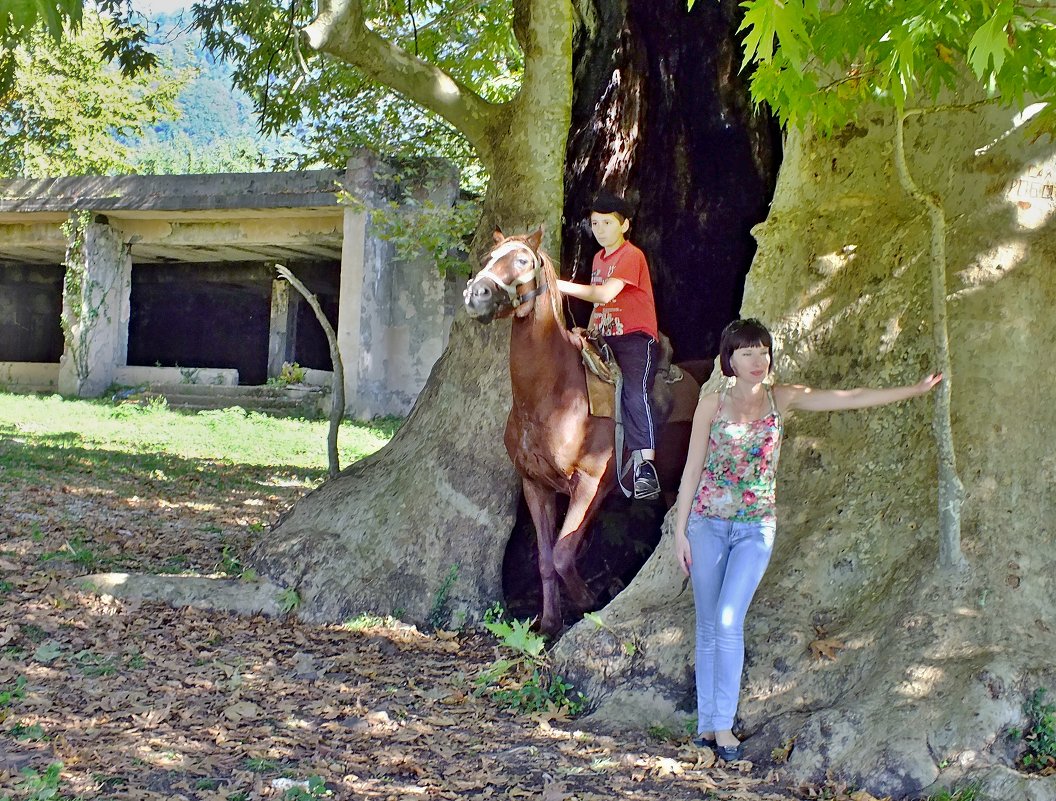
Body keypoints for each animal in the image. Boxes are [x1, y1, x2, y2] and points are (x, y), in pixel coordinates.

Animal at [466, 229, 696, 637]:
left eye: (522, 260)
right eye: (490, 257)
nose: (476, 294)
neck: (552, 395)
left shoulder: (590, 485)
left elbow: (561, 553)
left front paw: (588, 601)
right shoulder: (535, 485)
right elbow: (545, 559)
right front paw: (549, 623)